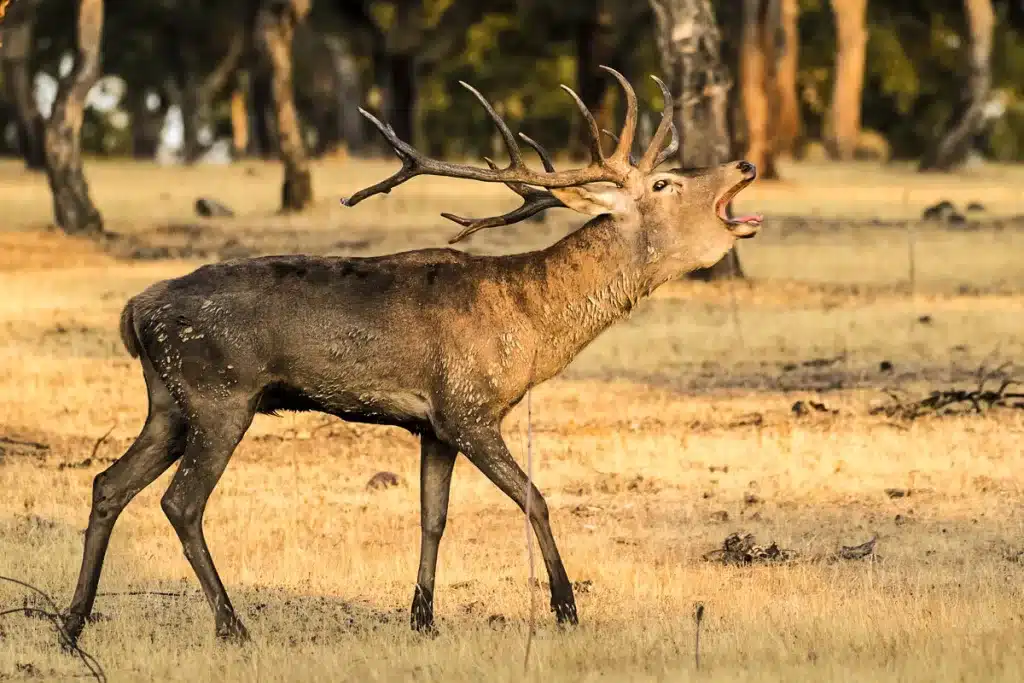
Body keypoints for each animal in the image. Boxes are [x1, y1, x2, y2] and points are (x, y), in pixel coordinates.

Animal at [60, 66, 761, 647]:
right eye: (666, 182)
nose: (745, 165)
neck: (532, 330)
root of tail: (135, 312)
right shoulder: (470, 409)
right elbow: (534, 497)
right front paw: (566, 609)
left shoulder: (434, 426)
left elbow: (433, 516)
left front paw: (421, 617)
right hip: (219, 395)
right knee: (179, 503)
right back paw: (232, 627)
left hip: (168, 403)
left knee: (107, 483)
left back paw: (72, 624)